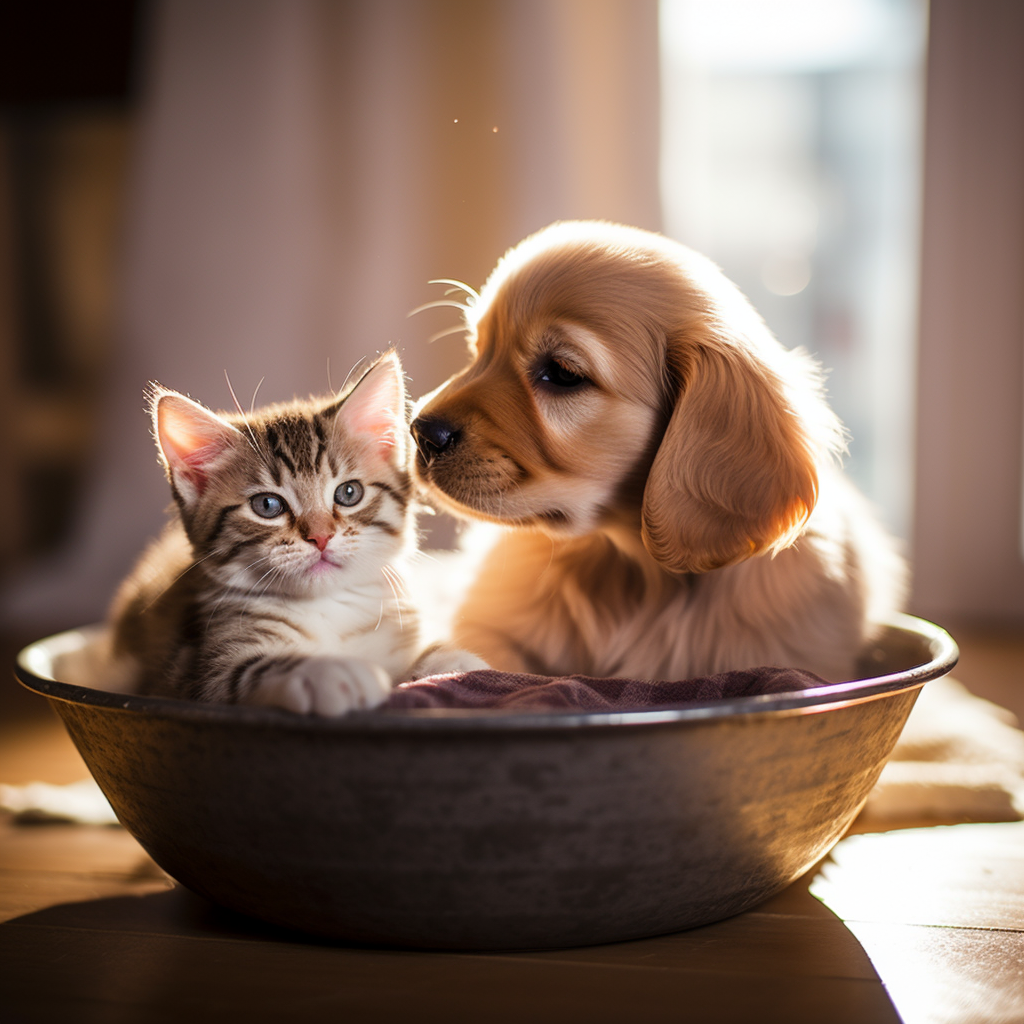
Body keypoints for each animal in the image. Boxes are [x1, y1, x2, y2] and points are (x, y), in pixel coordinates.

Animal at [110, 350, 485, 712]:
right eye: (267, 505)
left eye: (349, 493)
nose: (320, 537)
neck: (328, 607)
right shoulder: (192, 676)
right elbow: (249, 671)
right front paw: (328, 671)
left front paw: (451, 661)